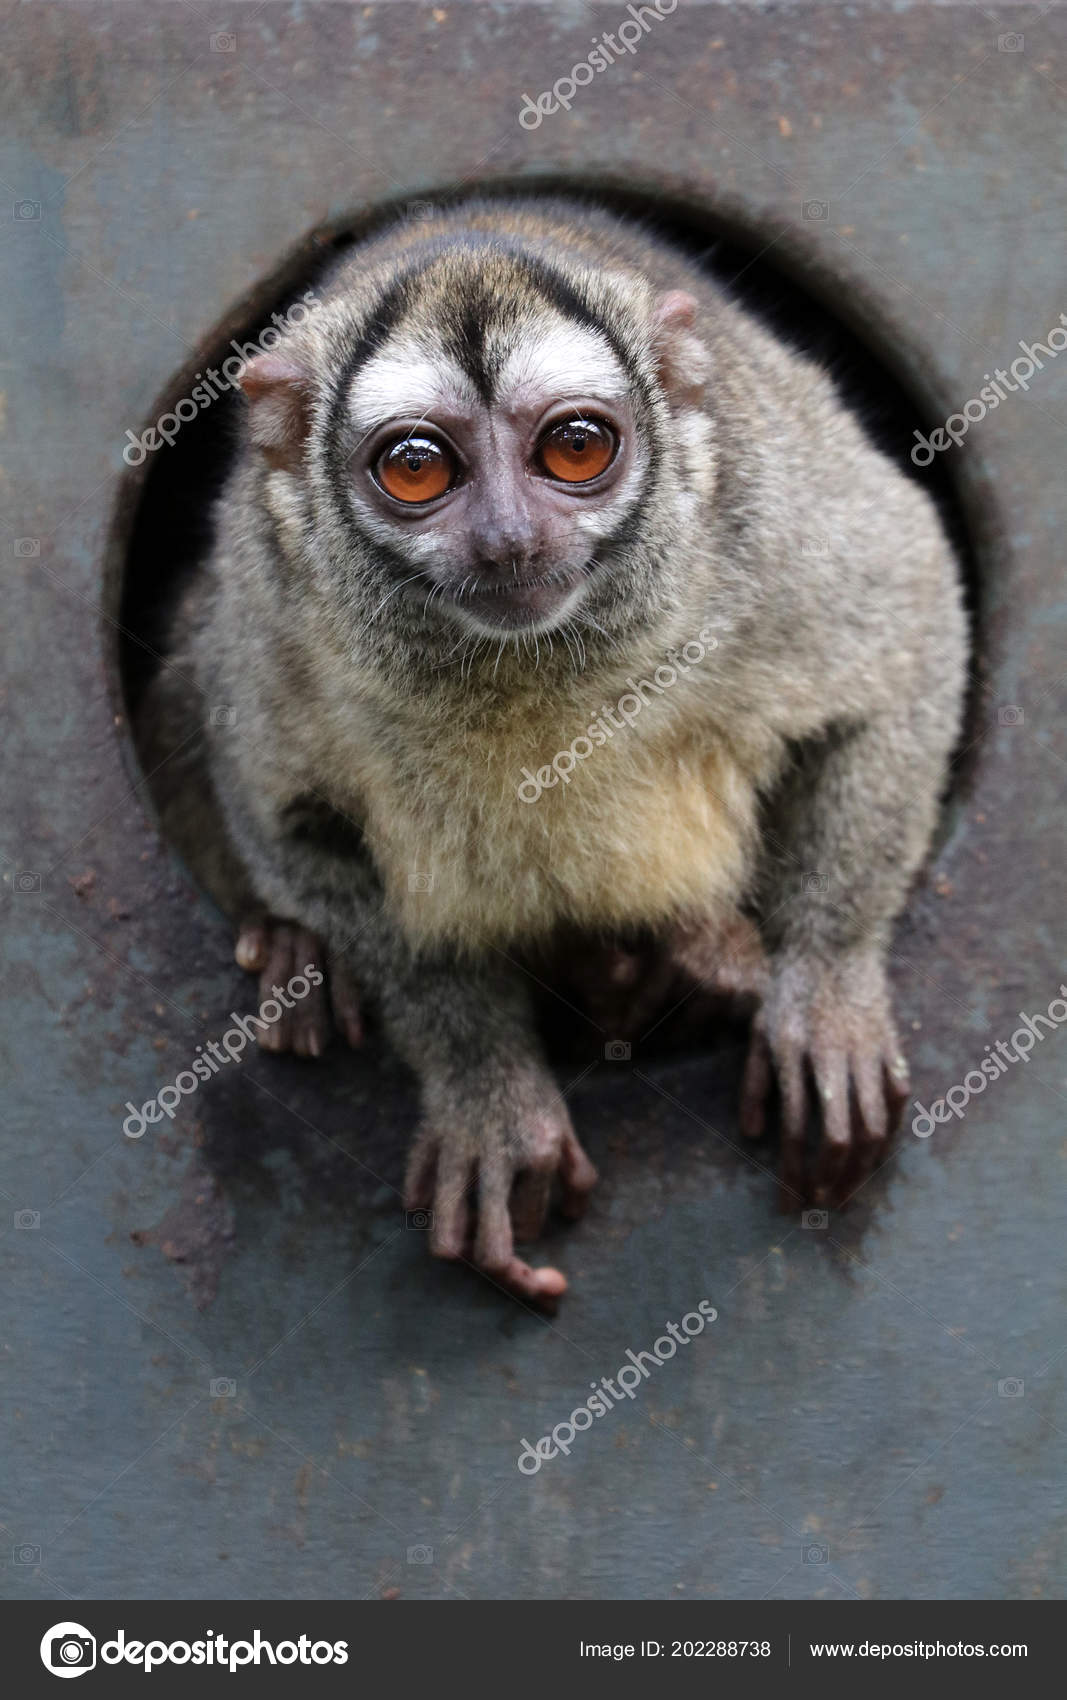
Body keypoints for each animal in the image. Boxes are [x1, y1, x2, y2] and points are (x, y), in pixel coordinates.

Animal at [137, 195, 967, 1304]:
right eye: (415, 466)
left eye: (574, 448)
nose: (508, 541)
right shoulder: (273, 609)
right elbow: (285, 814)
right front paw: (489, 1095)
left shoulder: (764, 522)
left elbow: (904, 626)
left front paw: (823, 996)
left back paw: (697, 960)